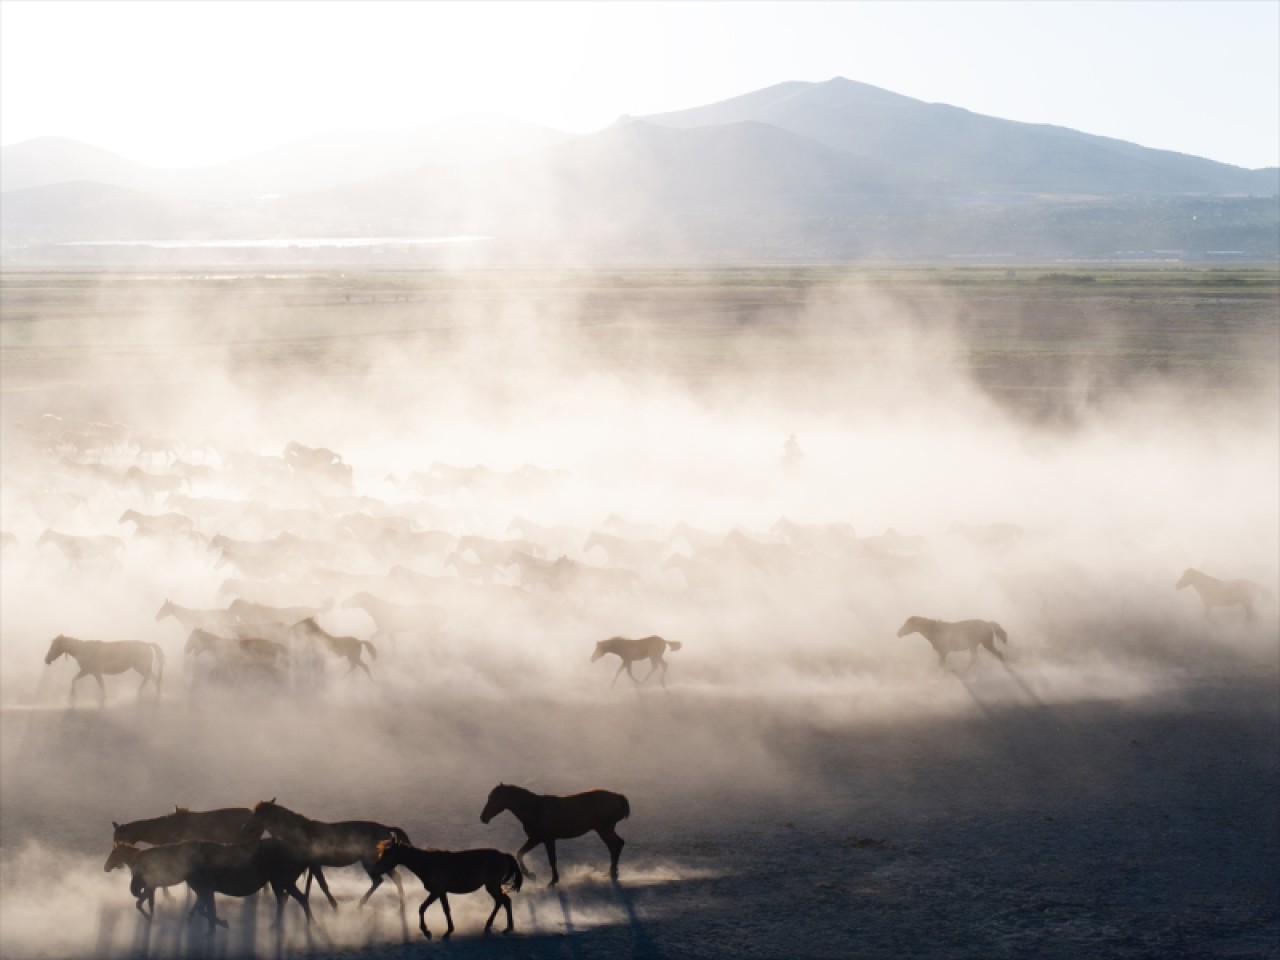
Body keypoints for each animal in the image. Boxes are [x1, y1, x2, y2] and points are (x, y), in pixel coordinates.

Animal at [373, 839, 522, 942]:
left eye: (388, 854)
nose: (375, 869)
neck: (427, 863)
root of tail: (503, 855)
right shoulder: (442, 892)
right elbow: (446, 910)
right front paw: (448, 931)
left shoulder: (436, 891)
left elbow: (422, 908)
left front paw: (427, 932)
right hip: (492, 886)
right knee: (503, 901)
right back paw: (499, 927)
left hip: (492, 885)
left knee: (502, 901)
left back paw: (498, 927)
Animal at [478, 788, 627, 885]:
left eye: (494, 798)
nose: (483, 817)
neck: (536, 809)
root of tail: (617, 797)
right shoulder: (535, 839)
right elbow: (520, 853)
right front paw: (531, 875)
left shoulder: (548, 840)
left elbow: (551, 860)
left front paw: (553, 880)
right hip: (605, 830)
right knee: (617, 845)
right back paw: (612, 871)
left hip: (604, 829)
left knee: (617, 845)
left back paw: (613, 872)